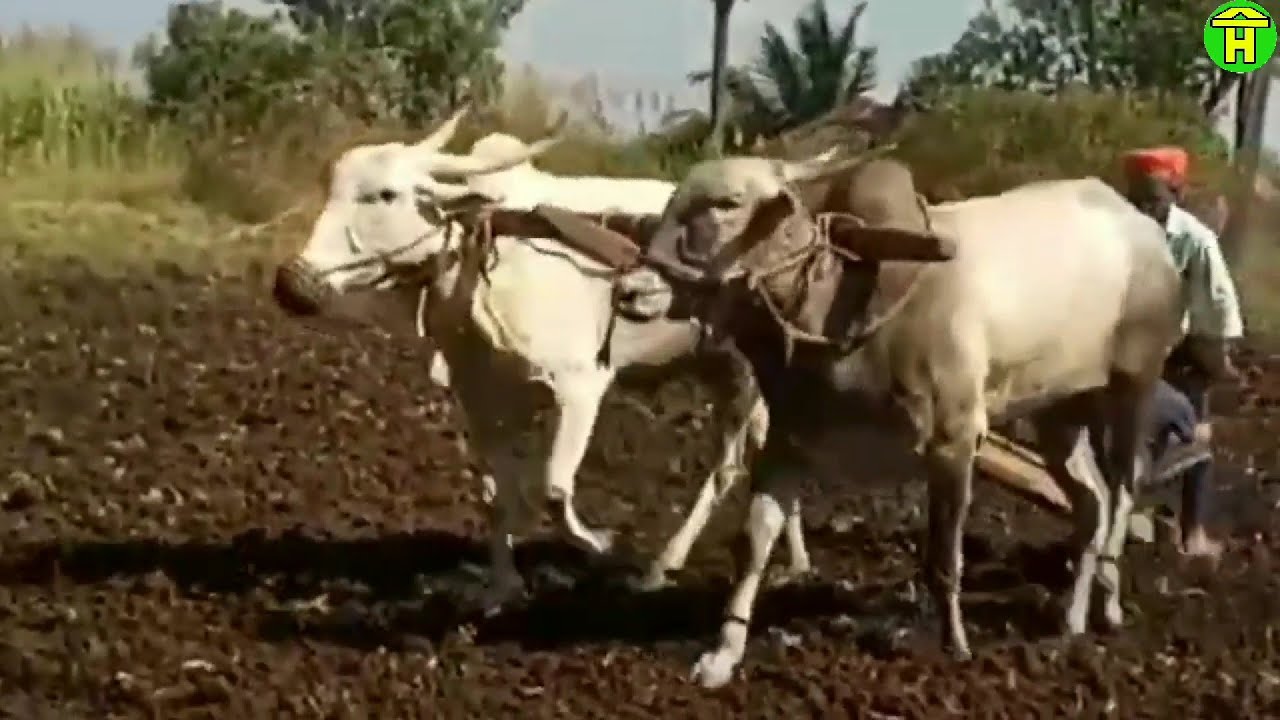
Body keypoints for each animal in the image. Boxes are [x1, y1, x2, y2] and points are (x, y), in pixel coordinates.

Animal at [540, 152, 1183, 687]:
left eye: (725, 204)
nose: (631, 289)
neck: (841, 305)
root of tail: (1141, 227)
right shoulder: (789, 442)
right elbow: (753, 543)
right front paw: (722, 655)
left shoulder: (954, 440)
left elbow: (943, 557)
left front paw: (954, 645)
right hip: (1058, 415)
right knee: (1091, 503)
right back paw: (1070, 617)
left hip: (1133, 389)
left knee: (1123, 495)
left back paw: (1107, 601)